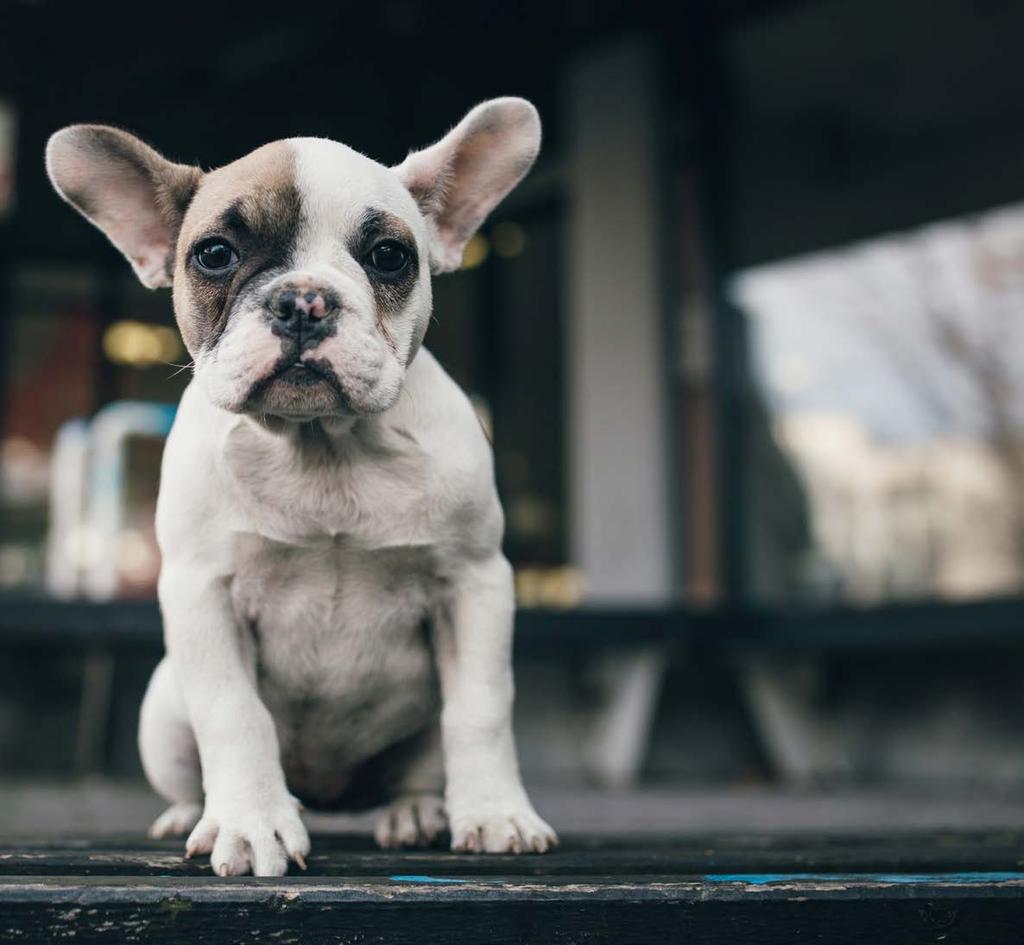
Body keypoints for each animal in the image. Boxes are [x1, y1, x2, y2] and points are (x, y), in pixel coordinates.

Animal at [46, 97, 561, 880]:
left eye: (389, 256)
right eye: (215, 254)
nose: (304, 301)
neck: (323, 446)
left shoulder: (474, 582)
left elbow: (481, 706)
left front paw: (497, 813)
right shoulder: (203, 590)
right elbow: (233, 711)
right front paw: (250, 822)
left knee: (422, 763)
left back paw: (418, 813)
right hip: (162, 711)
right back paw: (193, 814)